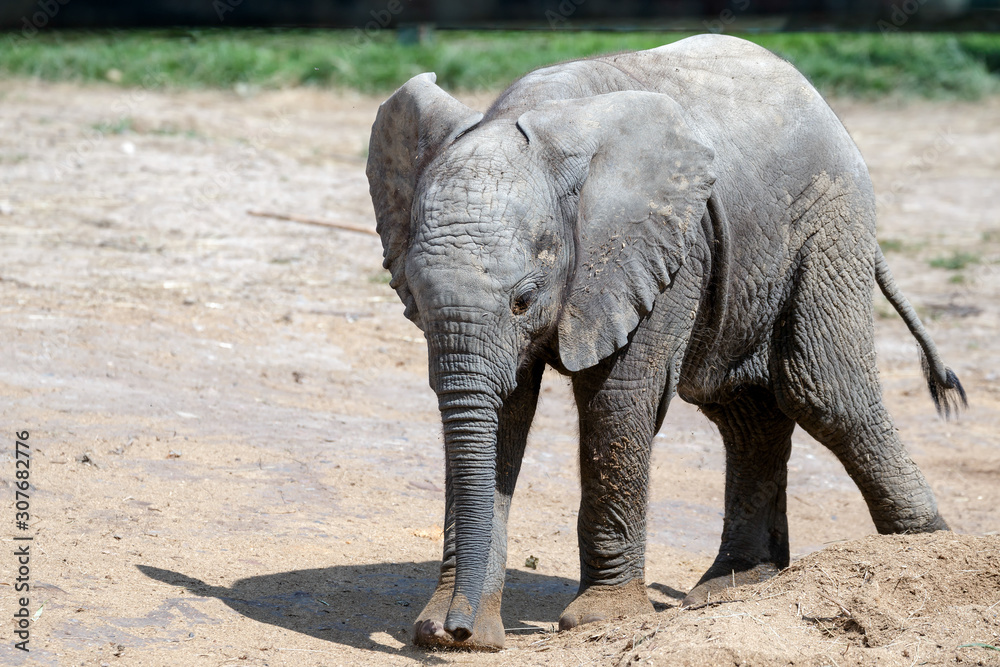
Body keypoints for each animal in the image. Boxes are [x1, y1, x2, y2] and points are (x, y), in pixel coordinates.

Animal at [365, 34, 966, 650]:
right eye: (413, 295)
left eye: (524, 299)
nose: (456, 631)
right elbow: (507, 412)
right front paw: (455, 633)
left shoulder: (664, 249)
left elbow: (616, 403)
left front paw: (600, 620)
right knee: (744, 412)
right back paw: (735, 585)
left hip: (827, 224)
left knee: (824, 393)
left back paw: (925, 553)